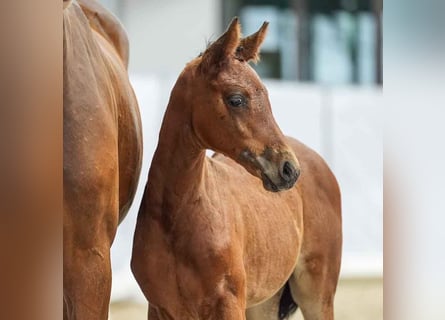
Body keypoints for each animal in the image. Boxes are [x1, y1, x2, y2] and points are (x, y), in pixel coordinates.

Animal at [131, 18, 340, 320]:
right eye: (236, 99)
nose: (288, 169)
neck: (176, 217)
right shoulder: (160, 309)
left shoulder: (228, 304)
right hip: (263, 302)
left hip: (316, 295)